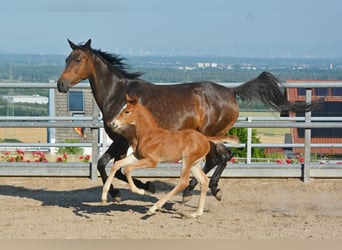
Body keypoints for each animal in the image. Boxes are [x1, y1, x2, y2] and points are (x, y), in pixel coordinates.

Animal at [56, 39, 320, 203]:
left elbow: (108, 165)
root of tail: (231, 92)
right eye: (66, 58)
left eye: (78, 59)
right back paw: (202, 189)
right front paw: (130, 190)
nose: (60, 84)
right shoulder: (121, 143)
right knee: (220, 157)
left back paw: (197, 190)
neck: (119, 94)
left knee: (219, 157)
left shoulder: (122, 141)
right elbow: (108, 166)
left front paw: (138, 188)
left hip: (210, 133)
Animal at [101, 94, 239, 218]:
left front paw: (140, 190)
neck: (148, 135)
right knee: (203, 180)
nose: (113, 123)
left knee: (183, 182)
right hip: (194, 164)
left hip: (187, 160)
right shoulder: (137, 156)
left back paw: (153, 208)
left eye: (127, 111)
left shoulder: (151, 161)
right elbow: (117, 165)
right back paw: (196, 213)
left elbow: (127, 168)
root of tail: (205, 138)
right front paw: (104, 197)